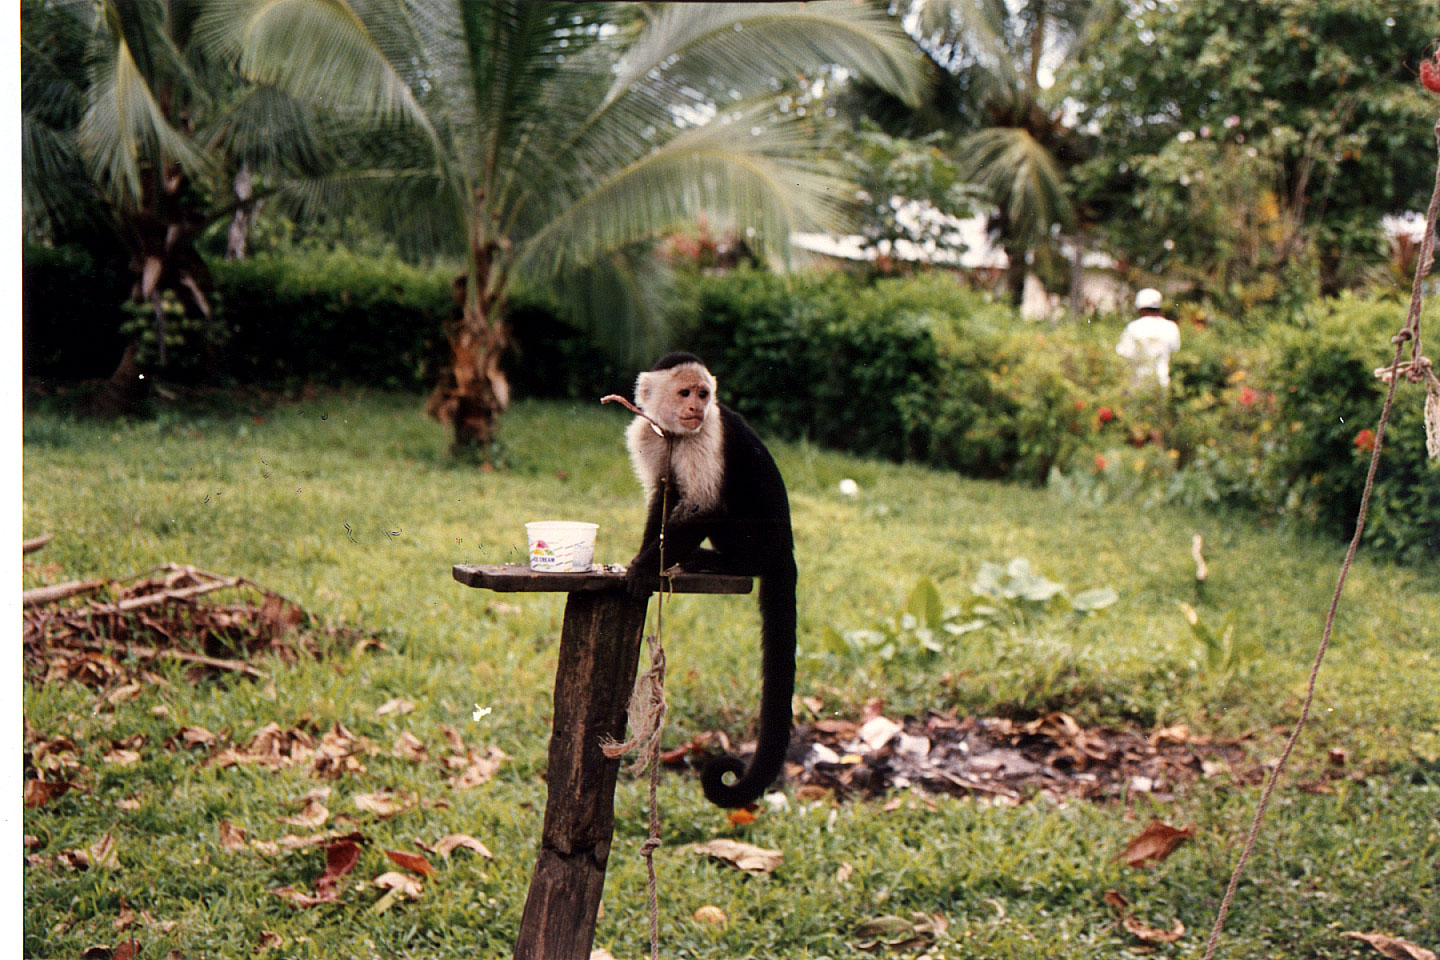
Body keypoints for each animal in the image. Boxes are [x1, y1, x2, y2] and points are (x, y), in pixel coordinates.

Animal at [622, 352, 800, 811]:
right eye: (685, 392)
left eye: (704, 394)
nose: (695, 407)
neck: (677, 432)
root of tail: (786, 550)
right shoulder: (648, 432)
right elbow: (661, 498)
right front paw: (644, 559)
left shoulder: (707, 433)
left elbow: (701, 506)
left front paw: (641, 571)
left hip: (760, 542)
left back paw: (716, 562)